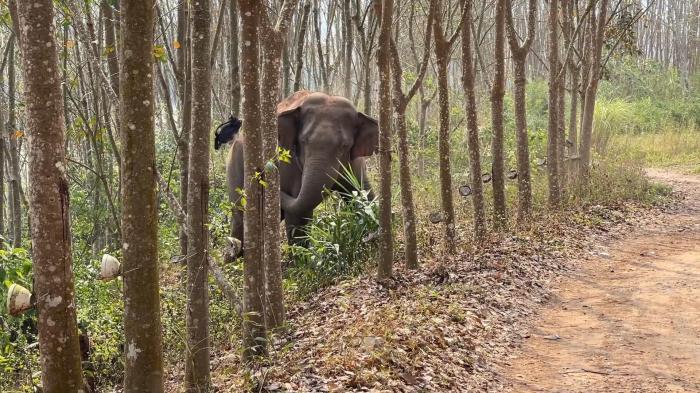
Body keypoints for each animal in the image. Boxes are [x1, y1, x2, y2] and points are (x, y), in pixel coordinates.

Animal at [223, 90, 378, 251]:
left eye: (345, 145)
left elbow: (363, 195)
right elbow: (299, 215)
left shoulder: (355, 163)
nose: (263, 174)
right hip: (234, 168)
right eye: (303, 141)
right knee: (240, 215)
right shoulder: (289, 163)